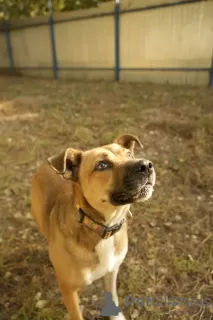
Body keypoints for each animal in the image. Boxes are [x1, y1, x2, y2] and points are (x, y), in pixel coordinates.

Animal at [30, 134, 156, 318]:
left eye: (129, 154)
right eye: (102, 165)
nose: (146, 165)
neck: (103, 228)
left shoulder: (112, 270)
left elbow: (112, 296)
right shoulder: (68, 290)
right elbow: (76, 315)